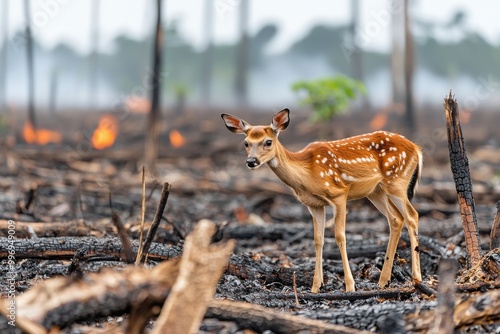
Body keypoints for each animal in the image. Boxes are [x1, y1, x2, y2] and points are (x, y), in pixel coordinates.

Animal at [222, 107, 422, 292]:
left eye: (268, 142)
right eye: (246, 143)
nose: (251, 161)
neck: (307, 175)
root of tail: (417, 149)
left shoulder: (339, 194)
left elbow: (340, 236)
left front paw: (350, 286)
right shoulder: (315, 205)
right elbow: (318, 240)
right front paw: (315, 286)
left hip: (397, 181)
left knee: (412, 216)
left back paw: (416, 278)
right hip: (376, 191)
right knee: (396, 219)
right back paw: (383, 281)